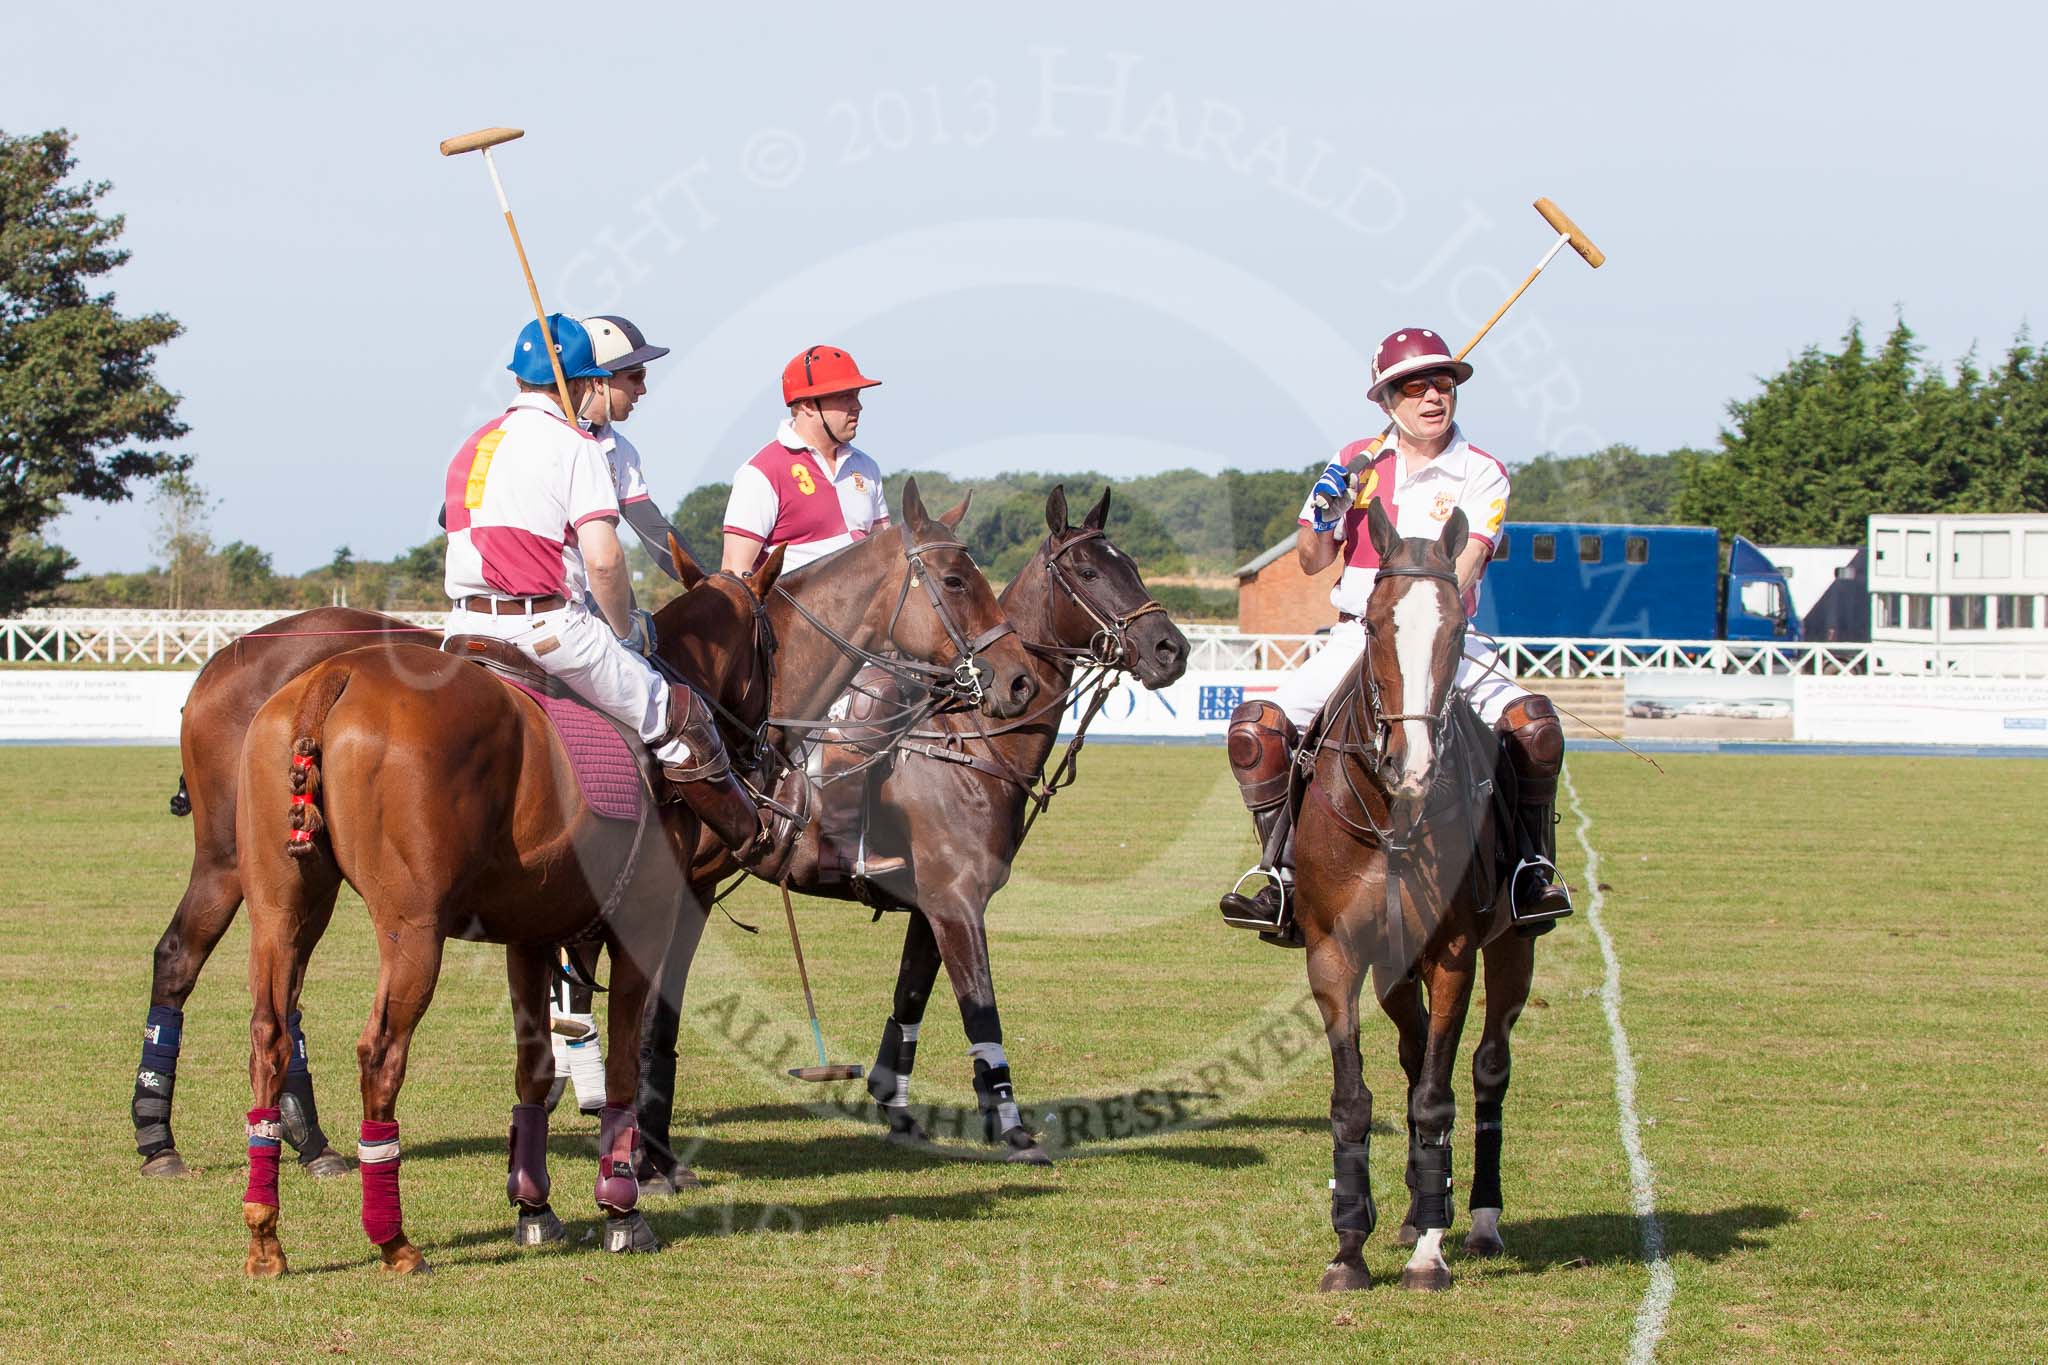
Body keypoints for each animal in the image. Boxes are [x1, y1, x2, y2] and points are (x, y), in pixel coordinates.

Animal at [235, 478, 1040, 1268]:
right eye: (957, 579)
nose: (1019, 681)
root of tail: (334, 678)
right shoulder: (654, 911)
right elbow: (631, 1048)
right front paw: (627, 1202)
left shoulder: (533, 928)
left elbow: (536, 1065)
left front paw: (535, 1207)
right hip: (413, 925)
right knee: (380, 1051)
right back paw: (393, 1239)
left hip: (285, 905)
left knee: (269, 1031)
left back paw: (265, 1234)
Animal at [1286, 501, 1531, 1293]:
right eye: (1372, 623)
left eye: (1455, 629)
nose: (1412, 765)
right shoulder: (1334, 954)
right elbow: (1352, 1099)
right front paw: (1348, 1249)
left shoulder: (1454, 952)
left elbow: (1435, 1094)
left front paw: (1430, 1253)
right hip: (1394, 967)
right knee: (1415, 1047)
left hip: (1514, 946)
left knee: (1485, 1067)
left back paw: (1475, 1218)